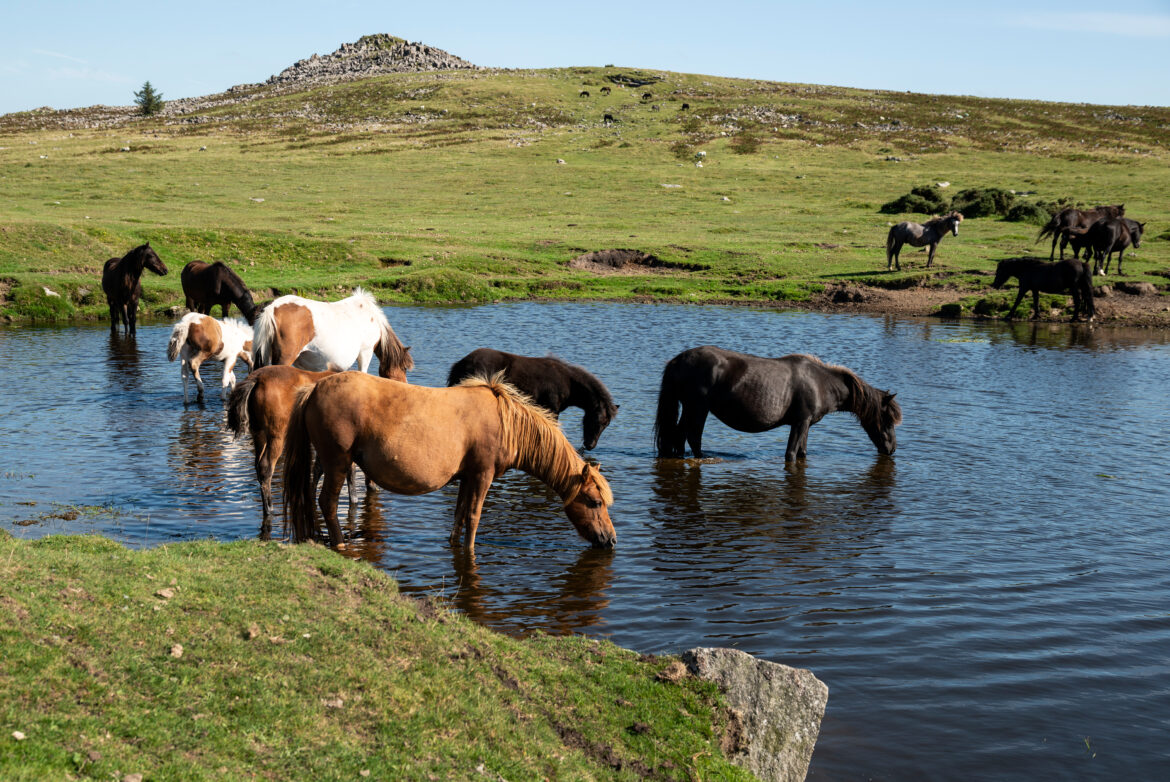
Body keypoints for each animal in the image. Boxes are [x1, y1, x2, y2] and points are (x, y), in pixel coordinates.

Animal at [283, 372, 616, 550]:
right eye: (595, 502)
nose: (611, 540)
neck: (505, 423)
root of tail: (314, 387)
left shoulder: (467, 477)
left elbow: (459, 516)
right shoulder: (482, 475)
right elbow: (474, 517)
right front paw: (470, 552)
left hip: (323, 463)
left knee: (309, 496)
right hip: (337, 462)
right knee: (327, 502)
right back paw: (339, 542)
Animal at [446, 348, 619, 450]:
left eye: (606, 424)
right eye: (597, 420)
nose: (590, 445)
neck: (568, 382)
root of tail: (461, 363)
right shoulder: (551, 409)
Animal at [654, 346, 901, 462]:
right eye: (888, 419)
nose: (891, 449)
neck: (821, 382)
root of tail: (677, 360)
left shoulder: (805, 425)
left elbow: (801, 453)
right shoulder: (800, 423)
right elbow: (791, 455)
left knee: (678, 436)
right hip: (697, 408)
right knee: (692, 436)